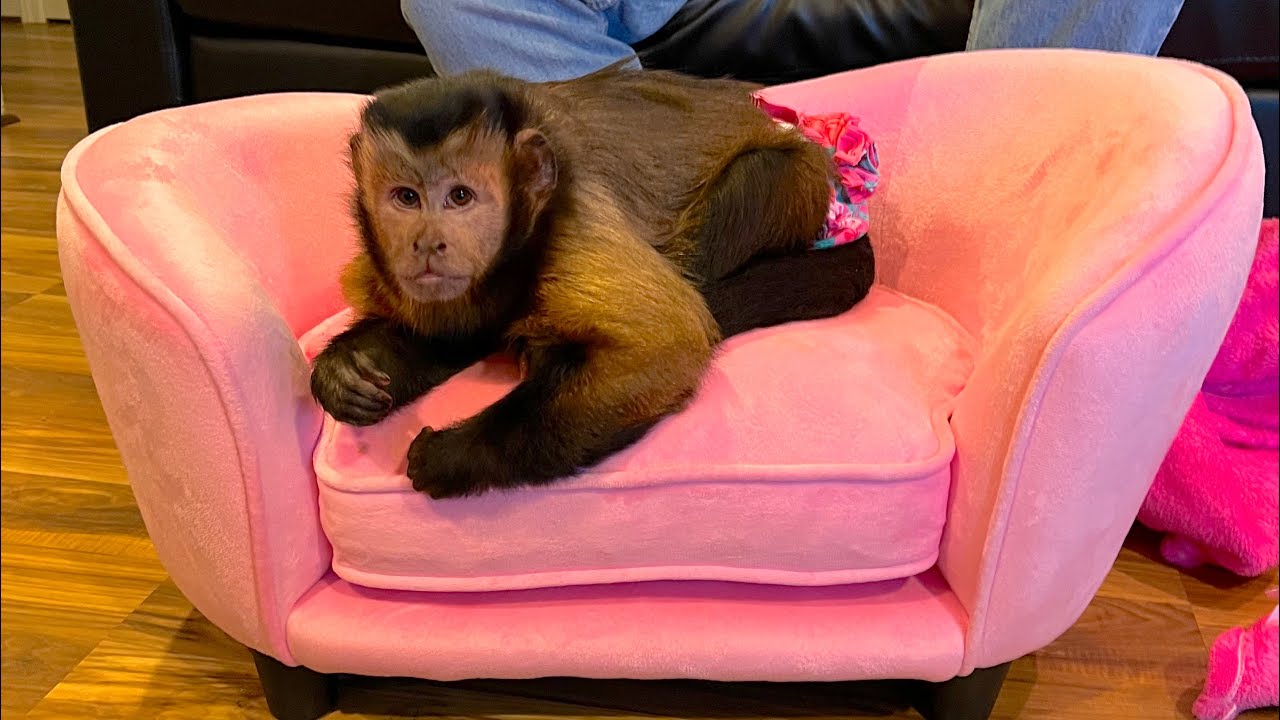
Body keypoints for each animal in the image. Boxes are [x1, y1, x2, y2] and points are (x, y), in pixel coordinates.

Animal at [309, 63, 876, 499]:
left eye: (460, 197)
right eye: (406, 198)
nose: (427, 244)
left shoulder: (572, 222)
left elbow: (666, 346)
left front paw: (455, 455)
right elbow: (451, 333)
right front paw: (346, 371)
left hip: (798, 185)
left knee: (757, 179)